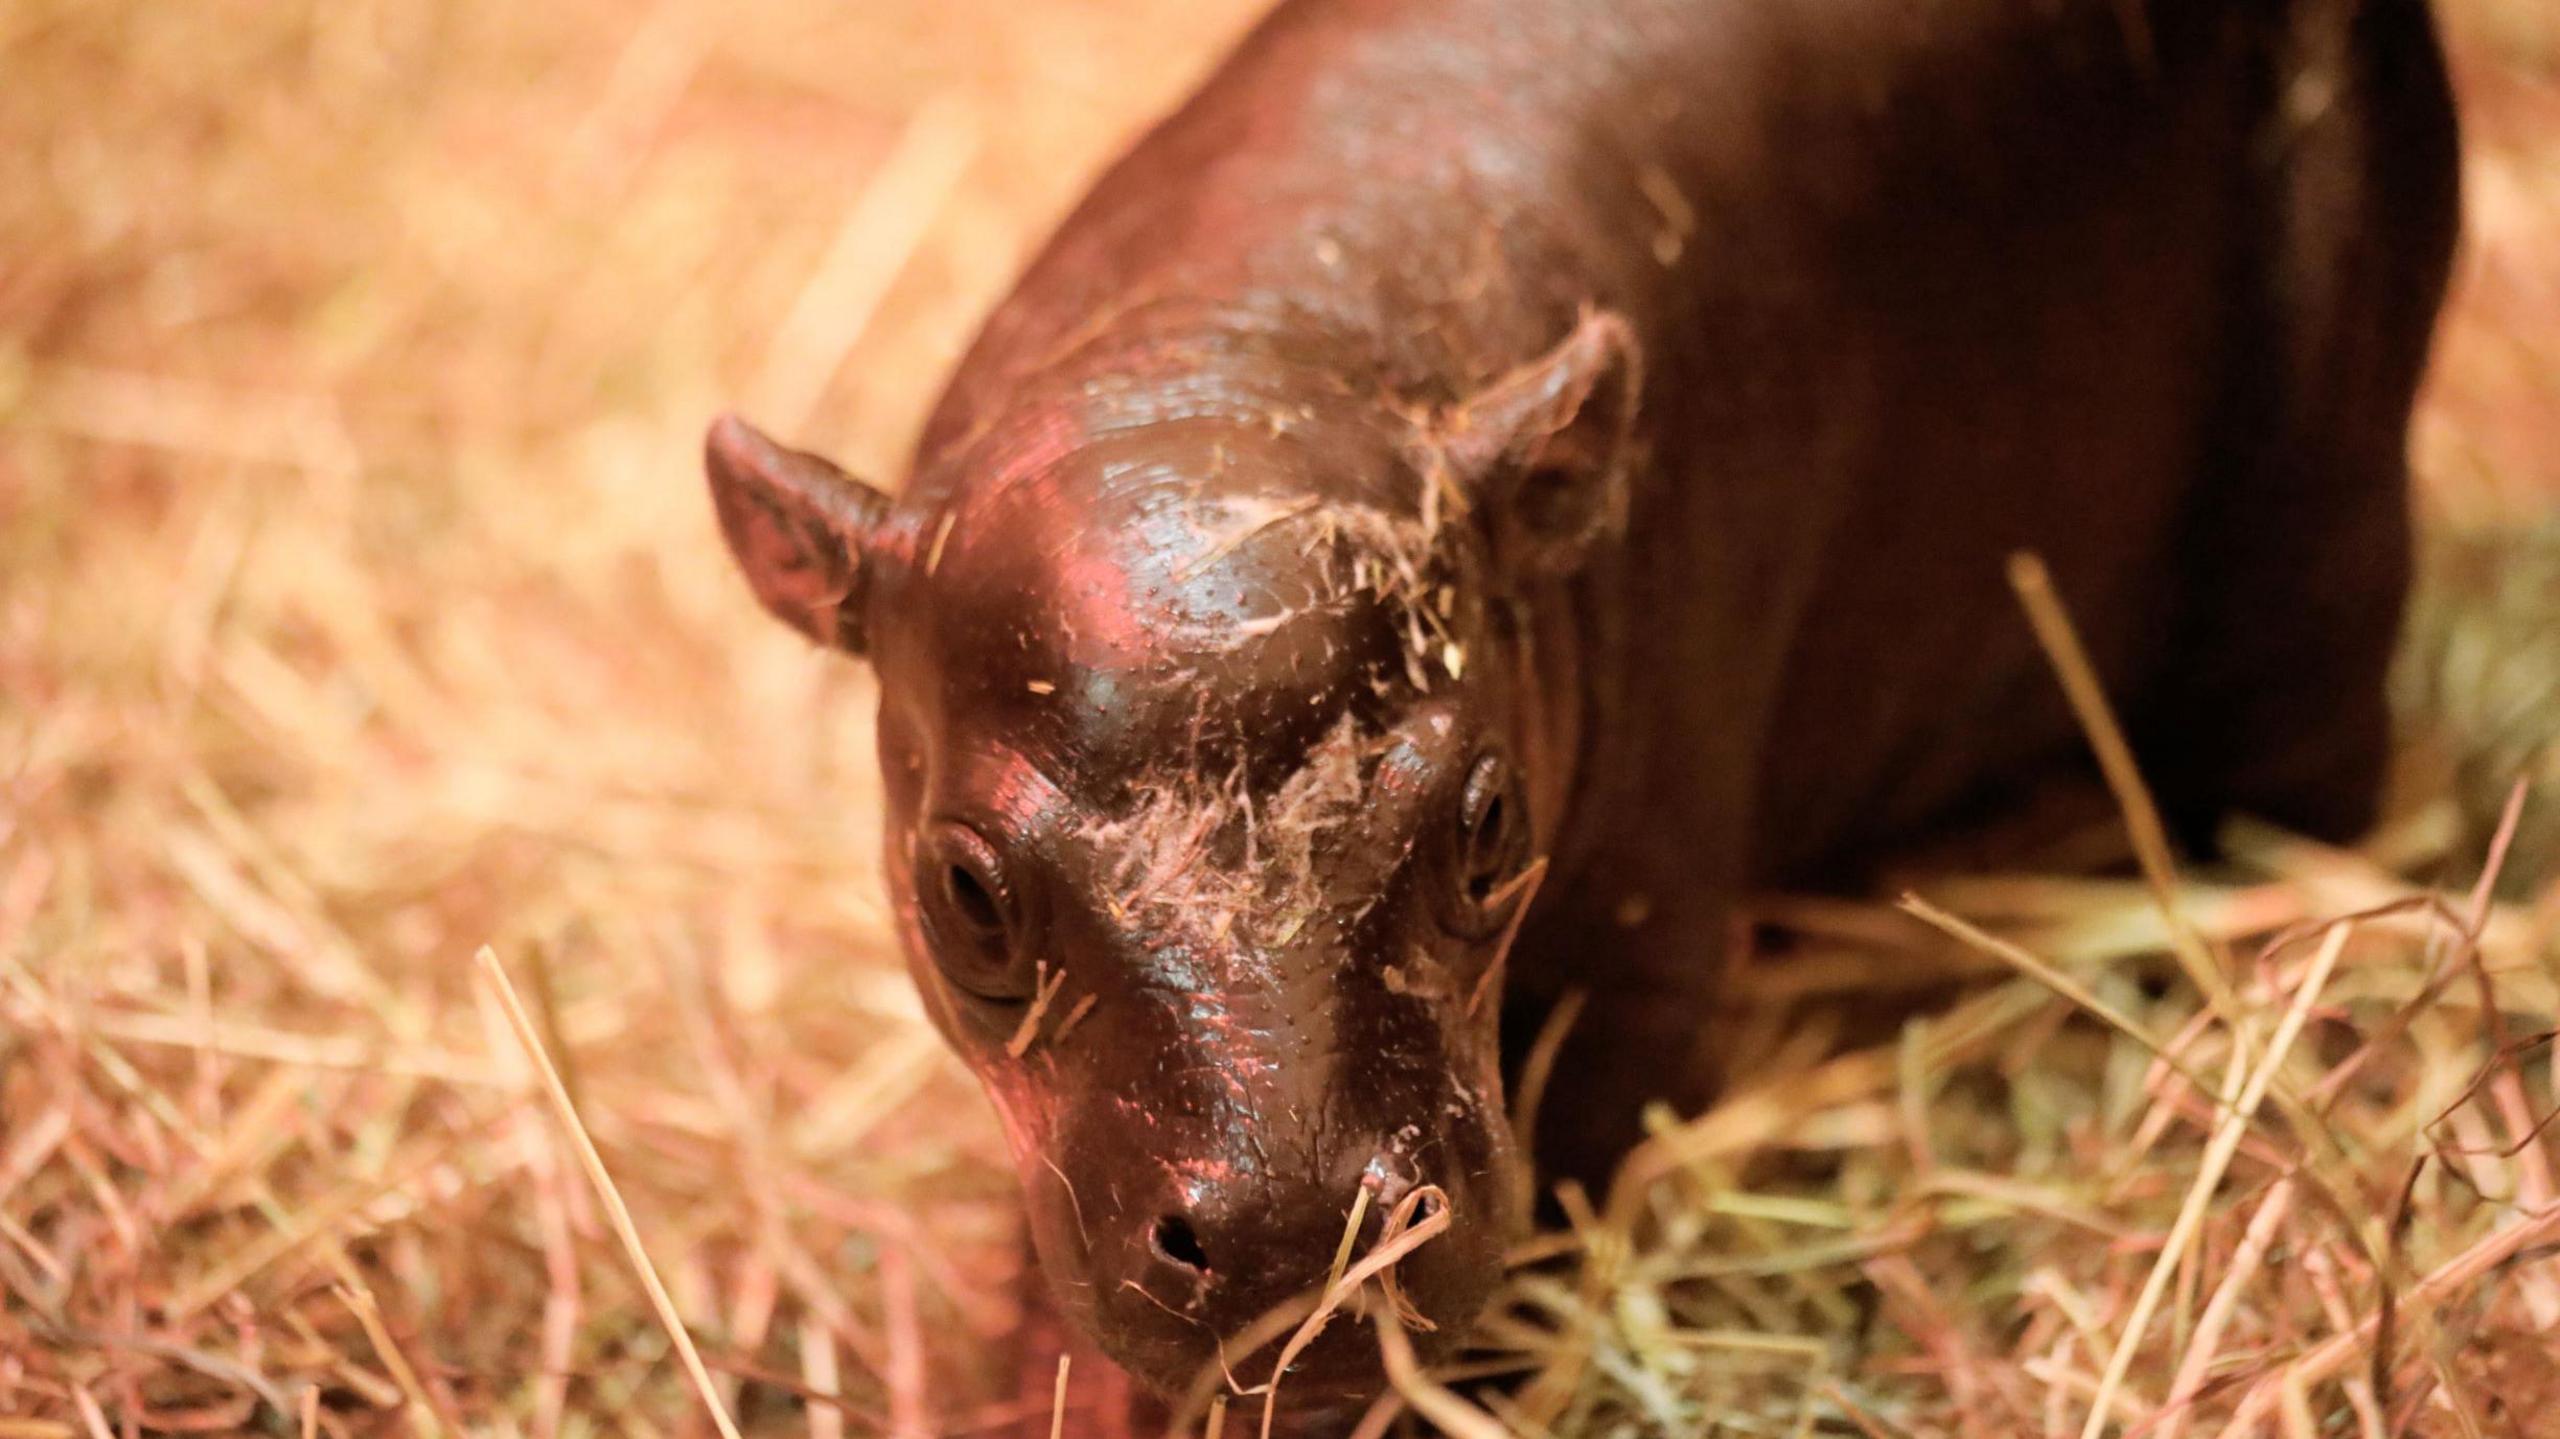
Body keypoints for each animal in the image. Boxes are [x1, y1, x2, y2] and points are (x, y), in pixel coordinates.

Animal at [701, 0, 2457, 1403]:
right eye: (964, 891)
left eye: (1487, 819)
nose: (1297, 1232)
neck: (1227, 348)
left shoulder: (1644, 945)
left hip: (2320, 541)